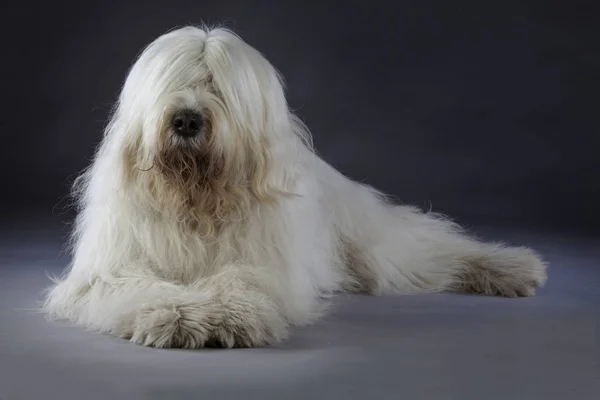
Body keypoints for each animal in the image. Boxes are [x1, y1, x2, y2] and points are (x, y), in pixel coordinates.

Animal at [43, 26, 548, 348]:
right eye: (174, 82)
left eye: (219, 87)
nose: (186, 119)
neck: (197, 200)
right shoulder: (112, 268)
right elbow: (143, 286)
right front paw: (177, 316)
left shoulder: (266, 260)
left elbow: (241, 279)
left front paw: (227, 316)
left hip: (372, 242)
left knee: (432, 249)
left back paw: (513, 268)